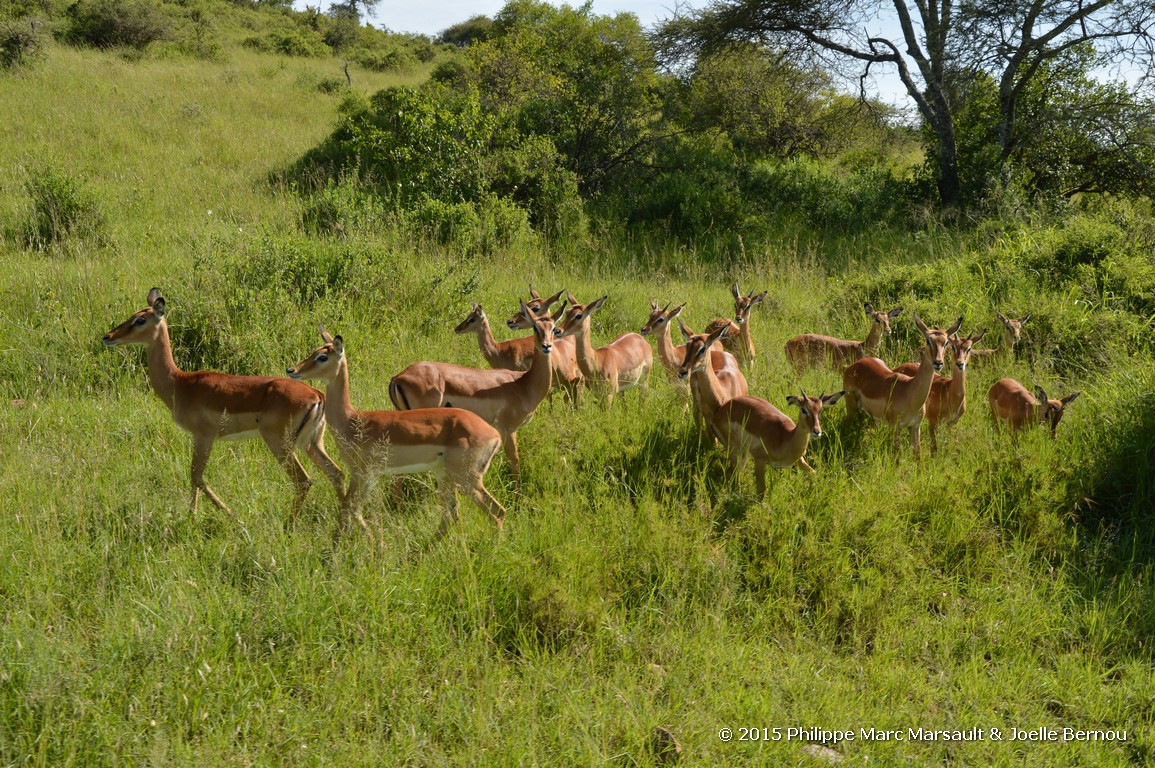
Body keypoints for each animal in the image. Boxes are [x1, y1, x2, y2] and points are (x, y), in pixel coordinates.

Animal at [103, 287, 341, 515]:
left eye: (140, 320)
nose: (107, 336)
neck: (180, 384)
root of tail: (317, 395)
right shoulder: (197, 437)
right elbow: (194, 478)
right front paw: (192, 514)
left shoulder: (205, 437)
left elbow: (197, 477)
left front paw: (228, 513)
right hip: (311, 443)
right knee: (336, 474)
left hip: (280, 444)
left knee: (304, 481)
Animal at [286, 327, 503, 538]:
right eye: (314, 351)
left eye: (322, 357)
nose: (292, 370)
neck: (352, 420)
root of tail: (494, 434)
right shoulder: (365, 475)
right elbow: (353, 508)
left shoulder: (362, 473)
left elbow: (349, 507)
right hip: (445, 476)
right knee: (453, 515)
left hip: (466, 478)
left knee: (496, 511)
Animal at [388, 300, 559, 485]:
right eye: (535, 327)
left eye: (553, 327)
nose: (547, 346)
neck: (523, 384)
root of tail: (398, 377)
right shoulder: (507, 429)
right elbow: (514, 462)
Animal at [706, 392, 845, 501]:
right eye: (804, 409)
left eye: (820, 410)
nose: (817, 431)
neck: (785, 438)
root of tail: (719, 412)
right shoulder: (760, 461)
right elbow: (762, 490)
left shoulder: (799, 461)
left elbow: (814, 473)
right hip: (738, 452)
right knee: (732, 472)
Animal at [840, 314, 965, 457]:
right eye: (928, 340)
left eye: (946, 343)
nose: (938, 363)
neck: (910, 393)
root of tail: (855, 365)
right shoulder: (895, 428)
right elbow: (897, 456)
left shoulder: (915, 427)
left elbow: (918, 456)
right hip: (850, 405)